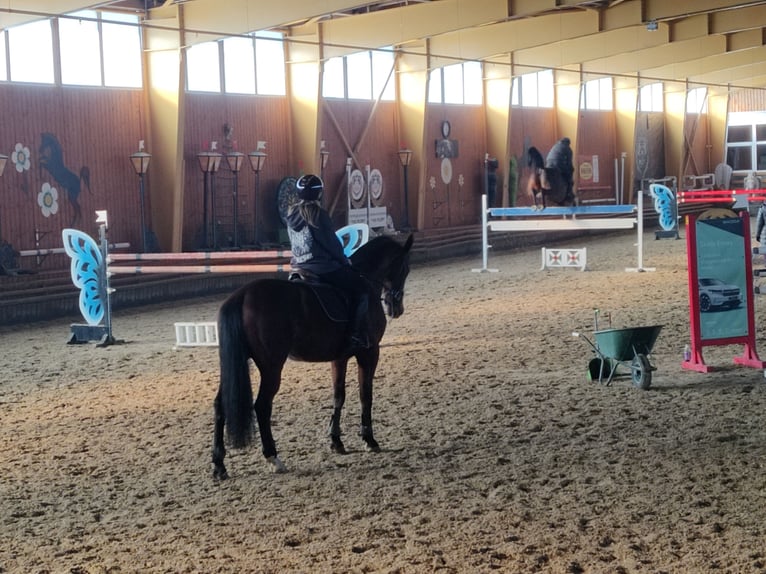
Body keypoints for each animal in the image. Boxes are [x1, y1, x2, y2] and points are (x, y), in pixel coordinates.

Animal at [210, 234, 414, 482]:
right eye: (404, 268)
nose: (396, 308)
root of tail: (242, 295)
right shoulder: (369, 353)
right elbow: (366, 395)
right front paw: (369, 440)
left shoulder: (340, 358)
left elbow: (338, 396)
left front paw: (336, 441)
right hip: (271, 367)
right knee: (262, 406)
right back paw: (273, 458)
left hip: (237, 363)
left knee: (220, 405)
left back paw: (219, 465)